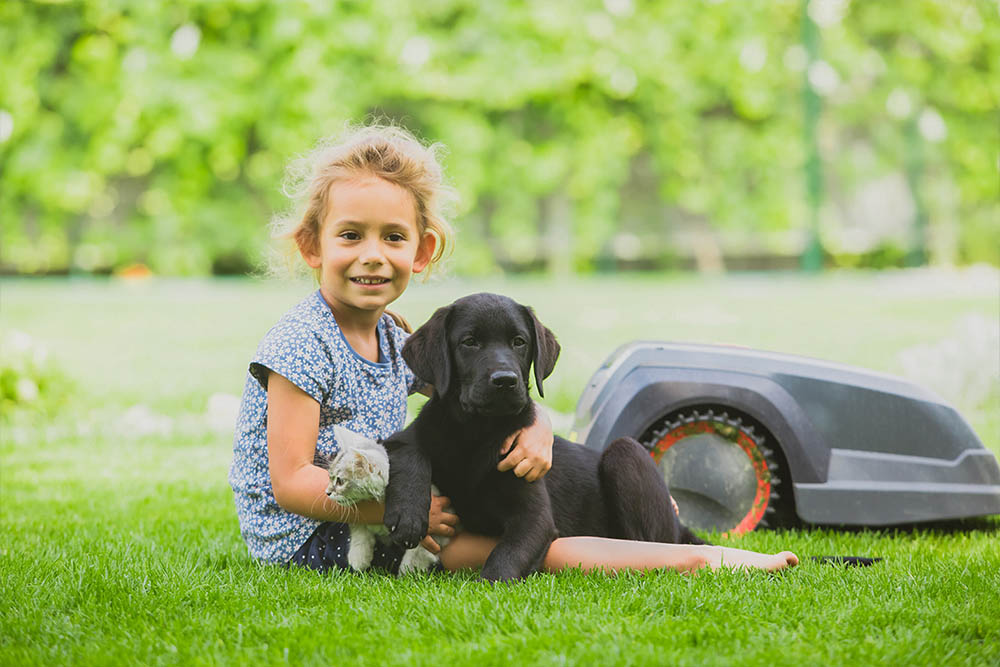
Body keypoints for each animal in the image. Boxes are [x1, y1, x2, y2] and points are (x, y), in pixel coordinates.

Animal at [324, 428, 446, 576]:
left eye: (340, 481)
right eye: (330, 477)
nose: (327, 492)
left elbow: (417, 554)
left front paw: (407, 573)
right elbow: (359, 530)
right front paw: (359, 557)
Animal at [382, 294, 704, 580]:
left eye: (519, 342)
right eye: (469, 342)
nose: (505, 381)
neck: (478, 432)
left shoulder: (534, 517)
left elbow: (507, 554)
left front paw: (490, 585)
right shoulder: (411, 435)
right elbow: (408, 450)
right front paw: (408, 516)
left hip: (626, 452)